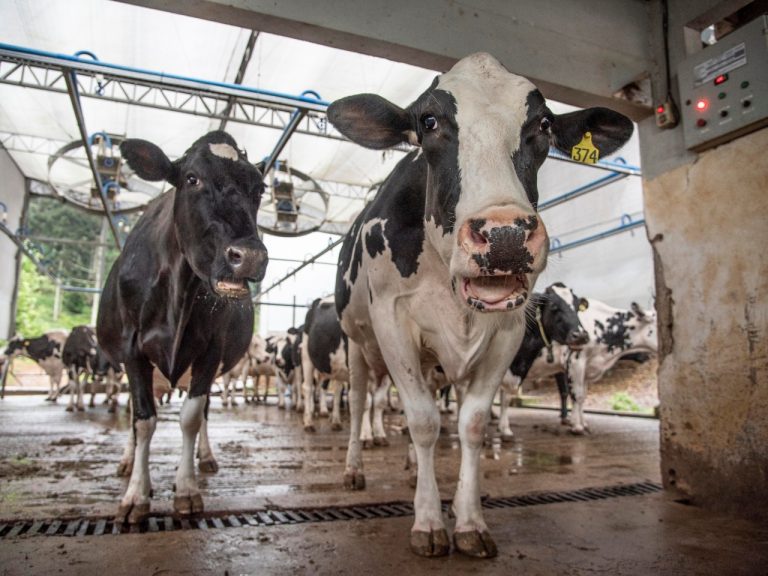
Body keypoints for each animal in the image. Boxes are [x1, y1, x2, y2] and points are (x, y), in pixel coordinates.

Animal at [96, 132, 268, 528]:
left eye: (260, 188)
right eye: (191, 178)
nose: (250, 256)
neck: (179, 290)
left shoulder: (210, 352)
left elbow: (190, 417)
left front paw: (186, 489)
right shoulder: (132, 351)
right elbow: (143, 421)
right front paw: (136, 495)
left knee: (201, 412)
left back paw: (205, 457)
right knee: (133, 413)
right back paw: (127, 461)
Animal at [552, 300, 660, 434]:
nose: (646, 357)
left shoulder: (586, 368)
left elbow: (582, 396)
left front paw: (583, 423)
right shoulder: (574, 362)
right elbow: (576, 394)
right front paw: (576, 426)